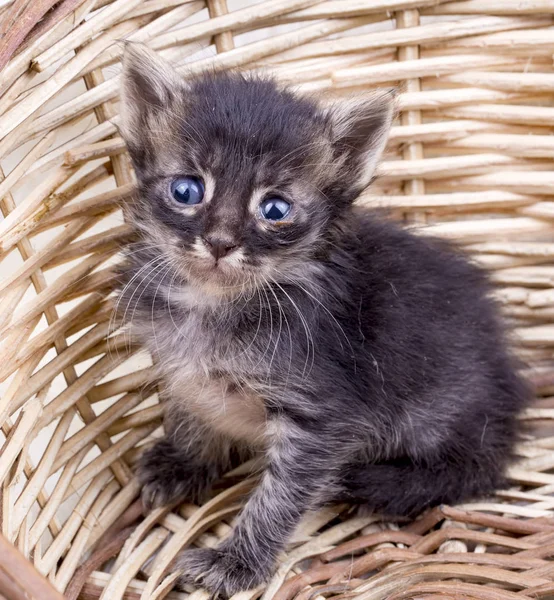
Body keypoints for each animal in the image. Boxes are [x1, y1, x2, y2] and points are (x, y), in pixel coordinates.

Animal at [115, 44, 528, 596]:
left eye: (275, 208)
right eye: (186, 191)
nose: (220, 243)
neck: (215, 305)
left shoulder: (322, 418)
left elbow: (279, 496)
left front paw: (236, 561)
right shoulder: (179, 366)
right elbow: (192, 407)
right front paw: (187, 459)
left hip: (442, 412)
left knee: (479, 465)